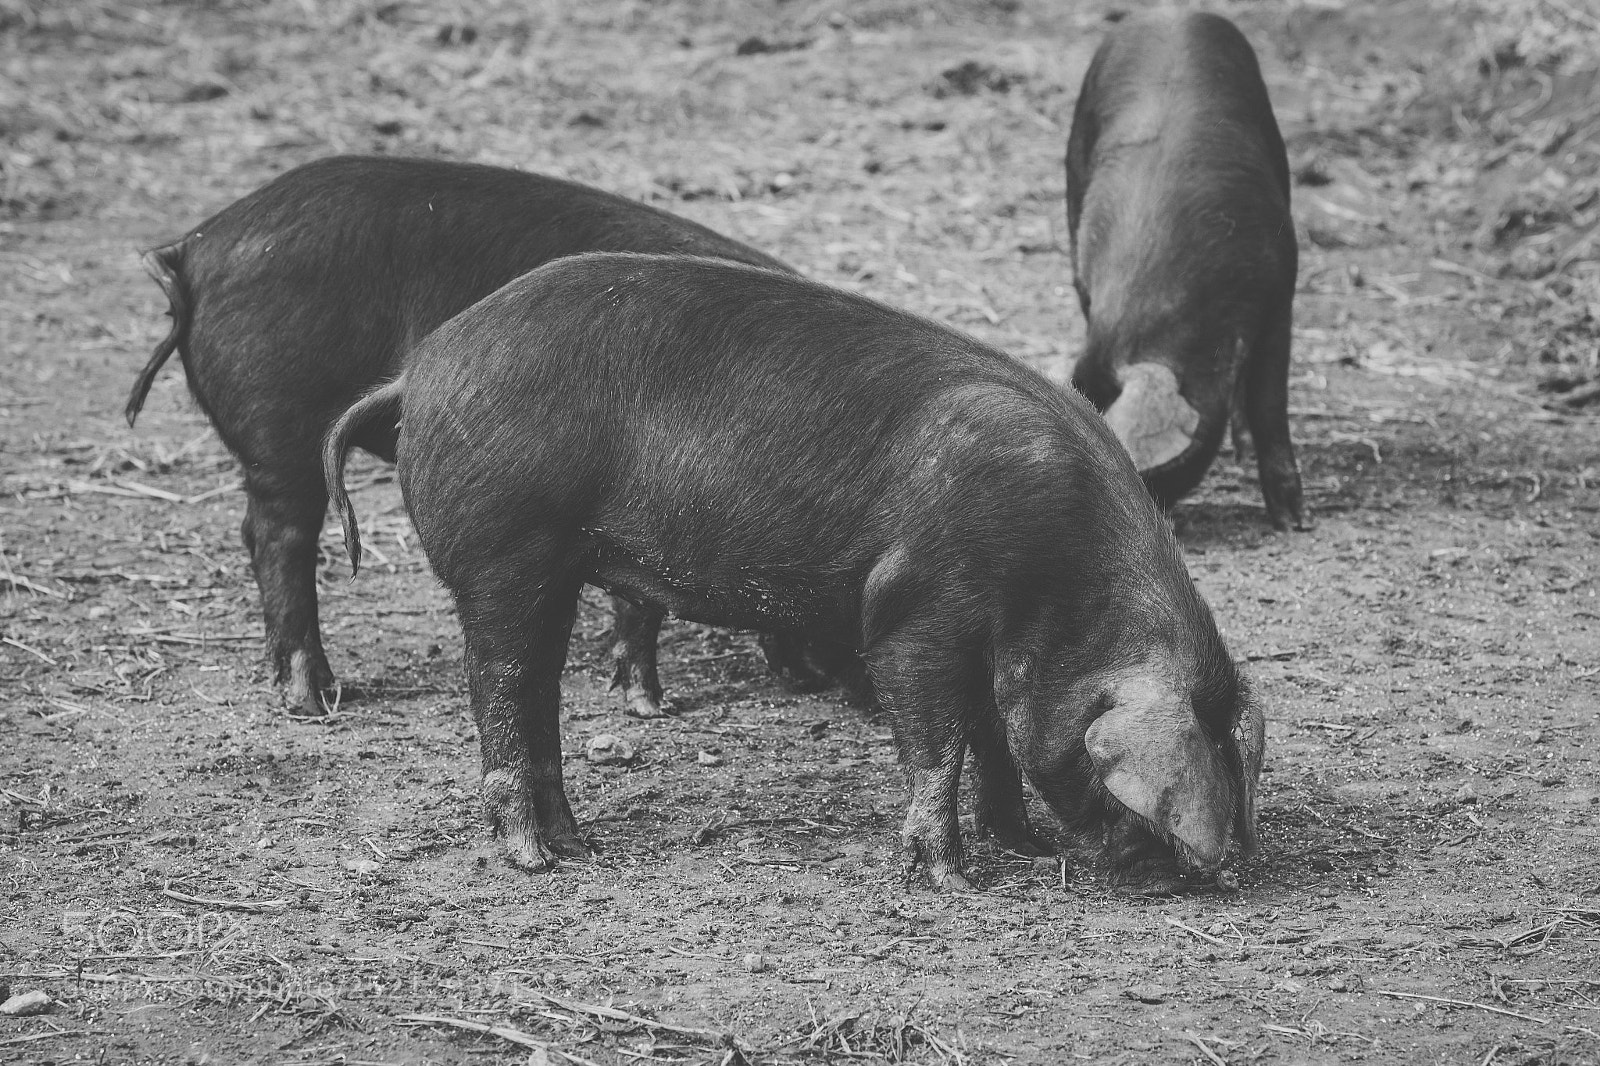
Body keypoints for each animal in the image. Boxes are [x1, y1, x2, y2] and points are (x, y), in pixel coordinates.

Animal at [127, 154, 810, 718]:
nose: (818, 678)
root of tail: (194, 249)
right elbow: (639, 601)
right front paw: (650, 707)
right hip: (282, 427)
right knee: (277, 537)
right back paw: (315, 699)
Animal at [323, 252, 1266, 892]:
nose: (1173, 872)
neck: (1059, 573)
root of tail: (420, 371)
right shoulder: (917, 606)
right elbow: (937, 739)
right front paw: (951, 881)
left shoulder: (989, 643)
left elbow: (992, 734)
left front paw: (1024, 846)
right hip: (505, 551)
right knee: (503, 685)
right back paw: (533, 863)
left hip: (547, 569)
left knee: (538, 691)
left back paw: (579, 846)